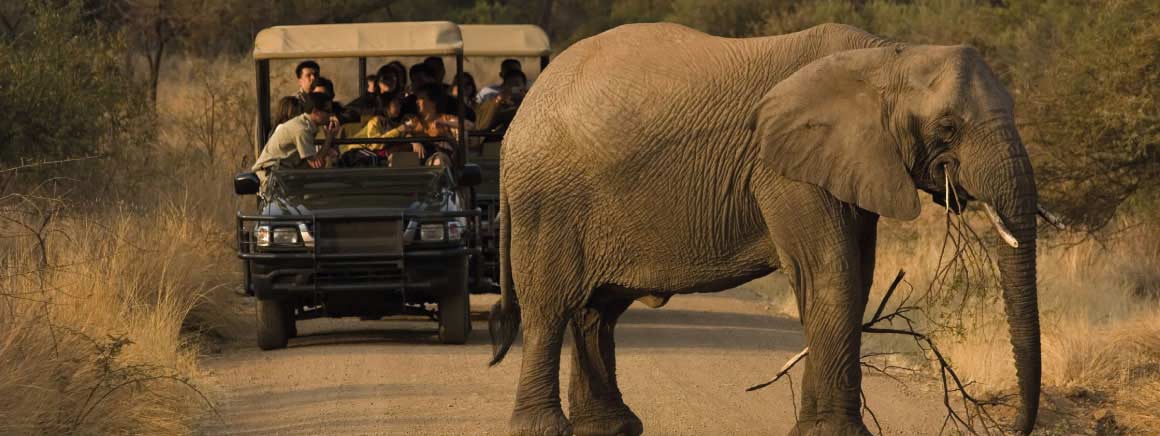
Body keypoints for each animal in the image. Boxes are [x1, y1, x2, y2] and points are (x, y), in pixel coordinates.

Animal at [484, 23, 1048, 436]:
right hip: (548, 202)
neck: (885, 55)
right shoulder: (783, 168)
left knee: (596, 312)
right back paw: (543, 429)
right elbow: (831, 274)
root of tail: (518, 121)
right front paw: (833, 435)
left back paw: (612, 428)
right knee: (550, 307)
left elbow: (857, 276)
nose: (1014, 426)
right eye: (948, 127)